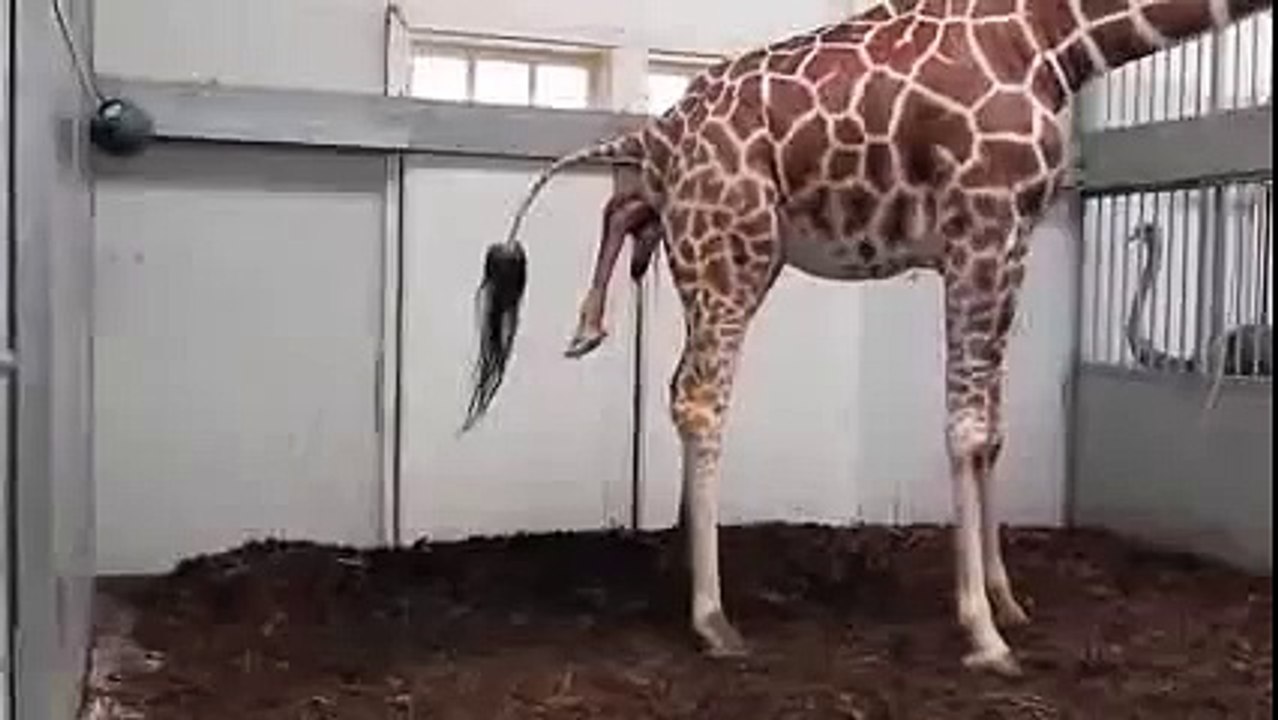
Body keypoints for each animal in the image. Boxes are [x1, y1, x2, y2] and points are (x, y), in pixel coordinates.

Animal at [460, 0, 1272, 674]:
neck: (1049, 35)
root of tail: (656, 132)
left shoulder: (1014, 240)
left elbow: (995, 432)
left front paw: (1009, 601)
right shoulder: (982, 223)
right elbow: (966, 429)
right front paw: (983, 633)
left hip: (715, 245)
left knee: (637, 252)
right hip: (733, 247)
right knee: (698, 399)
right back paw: (714, 618)